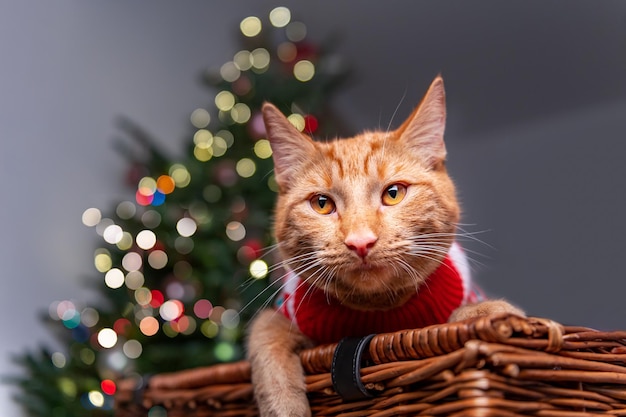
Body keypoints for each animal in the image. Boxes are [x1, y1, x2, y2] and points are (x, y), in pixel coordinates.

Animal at [246, 75, 520, 416]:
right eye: (322, 204)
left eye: (393, 193)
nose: (360, 242)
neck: (379, 316)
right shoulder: (284, 315)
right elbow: (266, 333)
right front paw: (285, 405)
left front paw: (487, 314)